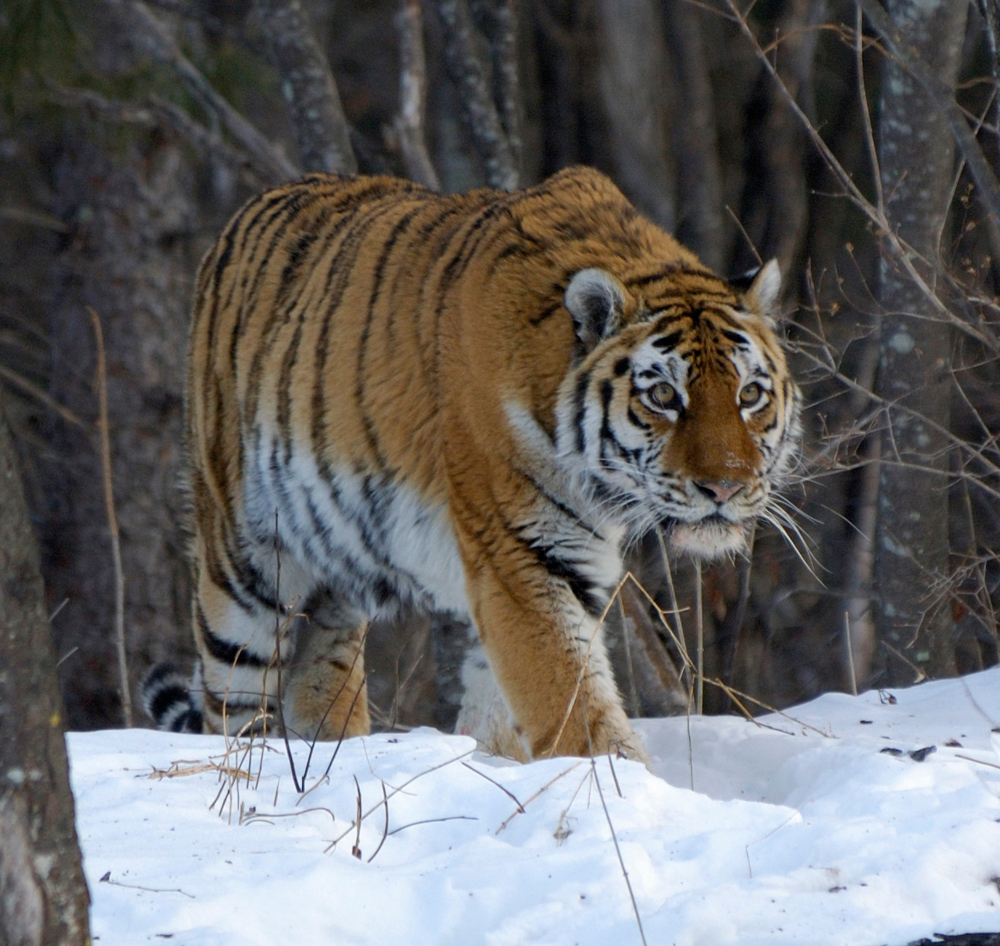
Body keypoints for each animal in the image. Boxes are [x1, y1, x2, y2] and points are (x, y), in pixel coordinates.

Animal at [145, 166, 804, 764]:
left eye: (749, 395)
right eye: (664, 395)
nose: (725, 487)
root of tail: (243, 215)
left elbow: (504, 707)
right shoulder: (520, 553)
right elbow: (572, 701)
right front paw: (619, 788)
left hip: (333, 579)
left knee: (318, 681)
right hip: (244, 570)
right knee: (233, 704)